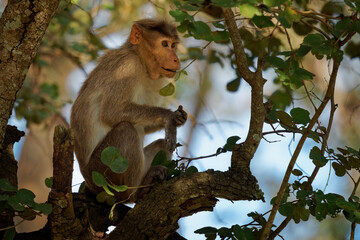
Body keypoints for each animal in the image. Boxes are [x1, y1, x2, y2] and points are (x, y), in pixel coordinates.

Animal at [71, 19, 188, 202]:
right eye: (164, 44)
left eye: (173, 45)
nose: (176, 59)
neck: (140, 59)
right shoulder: (127, 66)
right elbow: (111, 112)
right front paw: (169, 117)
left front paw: (179, 117)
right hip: (102, 175)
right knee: (125, 129)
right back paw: (135, 192)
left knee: (161, 143)